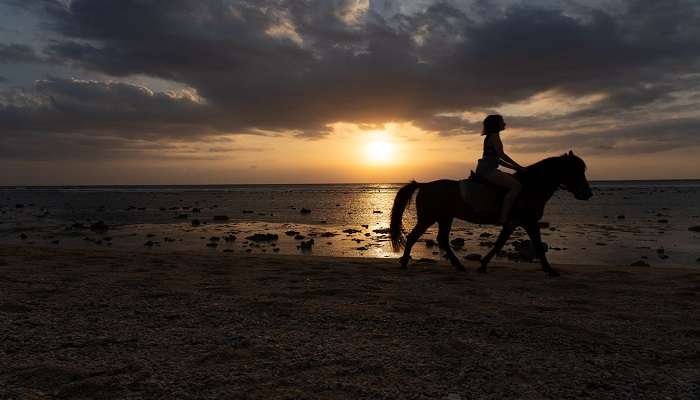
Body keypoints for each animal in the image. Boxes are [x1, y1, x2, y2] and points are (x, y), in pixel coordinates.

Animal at [388, 152, 592, 276]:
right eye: (576, 170)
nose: (587, 194)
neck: (530, 187)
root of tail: (425, 185)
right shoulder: (529, 222)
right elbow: (537, 246)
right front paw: (550, 270)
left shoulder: (513, 223)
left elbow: (499, 243)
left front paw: (483, 264)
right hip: (428, 218)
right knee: (414, 237)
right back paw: (404, 263)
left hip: (445, 217)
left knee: (442, 240)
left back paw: (459, 266)